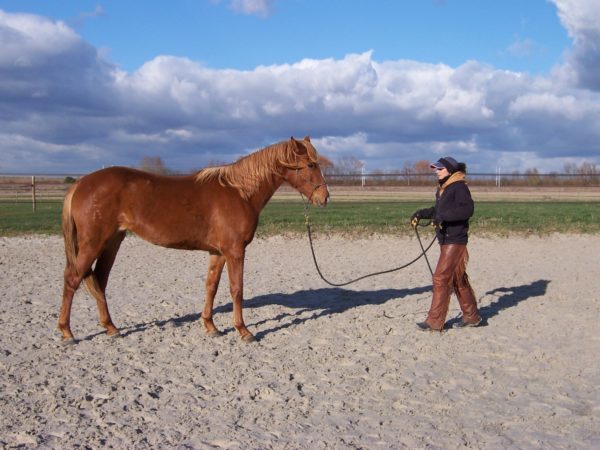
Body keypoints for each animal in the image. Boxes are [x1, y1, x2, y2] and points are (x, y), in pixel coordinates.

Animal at [58, 135, 330, 342]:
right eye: (310, 165)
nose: (324, 198)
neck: (240, 191)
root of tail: (81, 183)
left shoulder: (218, 253)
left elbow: (211, 287)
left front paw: (211, 326)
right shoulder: (235, 251)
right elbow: (237, 289)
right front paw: (243, 331)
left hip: (113, 242)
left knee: (99, 281)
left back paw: (111, 328)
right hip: (94, 243)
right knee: (73, 278)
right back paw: (67, 332)